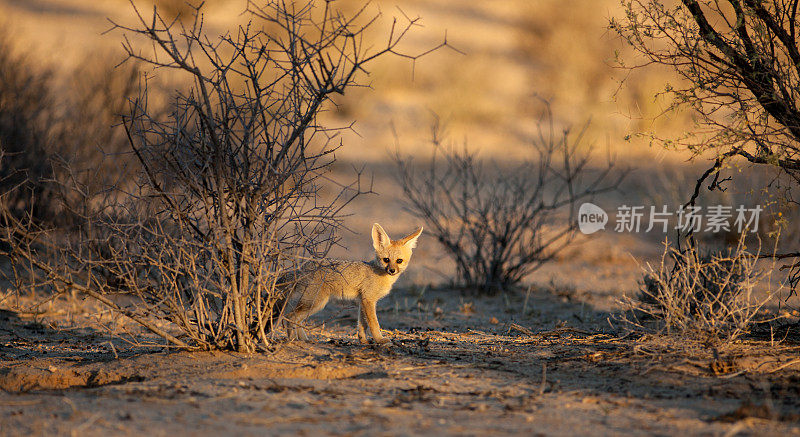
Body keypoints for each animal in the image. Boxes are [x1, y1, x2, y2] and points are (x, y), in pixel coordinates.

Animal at [282, 225, 422, 344]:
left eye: (399, 261)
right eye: (386, 260)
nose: (392, 270)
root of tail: (303, 267)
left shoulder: (362, 300)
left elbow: (362, 324)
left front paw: (363, 341)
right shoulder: (369, 300)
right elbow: (373, 323)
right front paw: (380, 340)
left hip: (313, 304)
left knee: (297, 320)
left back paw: (304, 339)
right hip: (316, 303)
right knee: (289, 316)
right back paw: (292, 340)